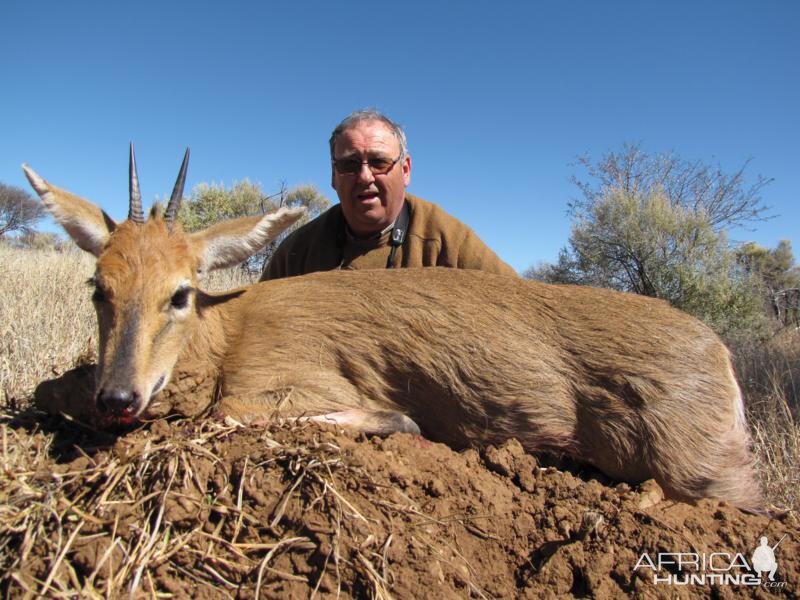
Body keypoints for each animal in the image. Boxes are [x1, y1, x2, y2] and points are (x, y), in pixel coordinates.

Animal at [23, 149, 764, 510]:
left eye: (179, 293)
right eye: (98, 287)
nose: (119, 397)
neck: (228, 328)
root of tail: (721, 354)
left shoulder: (278, 390)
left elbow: (225, 417)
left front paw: (401, 423)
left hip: (703, 479)